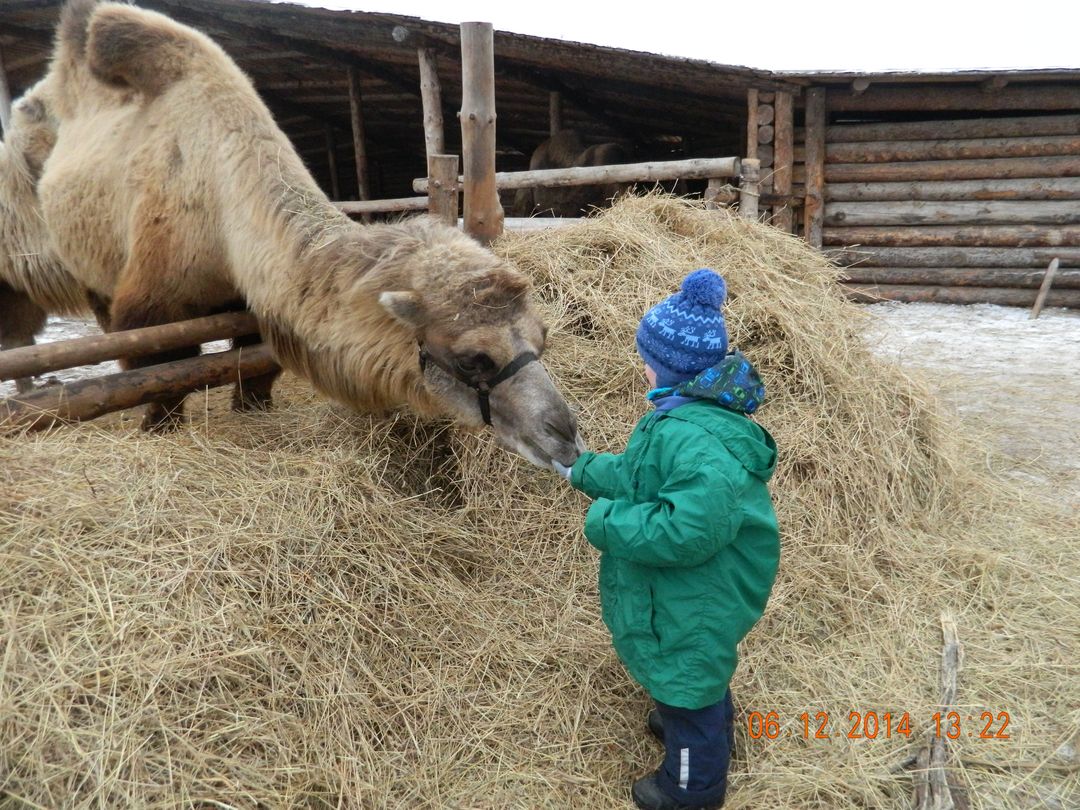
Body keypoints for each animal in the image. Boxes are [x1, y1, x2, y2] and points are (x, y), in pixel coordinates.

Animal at [34, 0, 583, 468]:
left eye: (543, 335)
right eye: (474, 359)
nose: (565, 433)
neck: (221, 200)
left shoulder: (255, 300)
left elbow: (257, 367)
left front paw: (252, 412)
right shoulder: (152, 295)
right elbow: (158, 374)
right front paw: (157, 430)